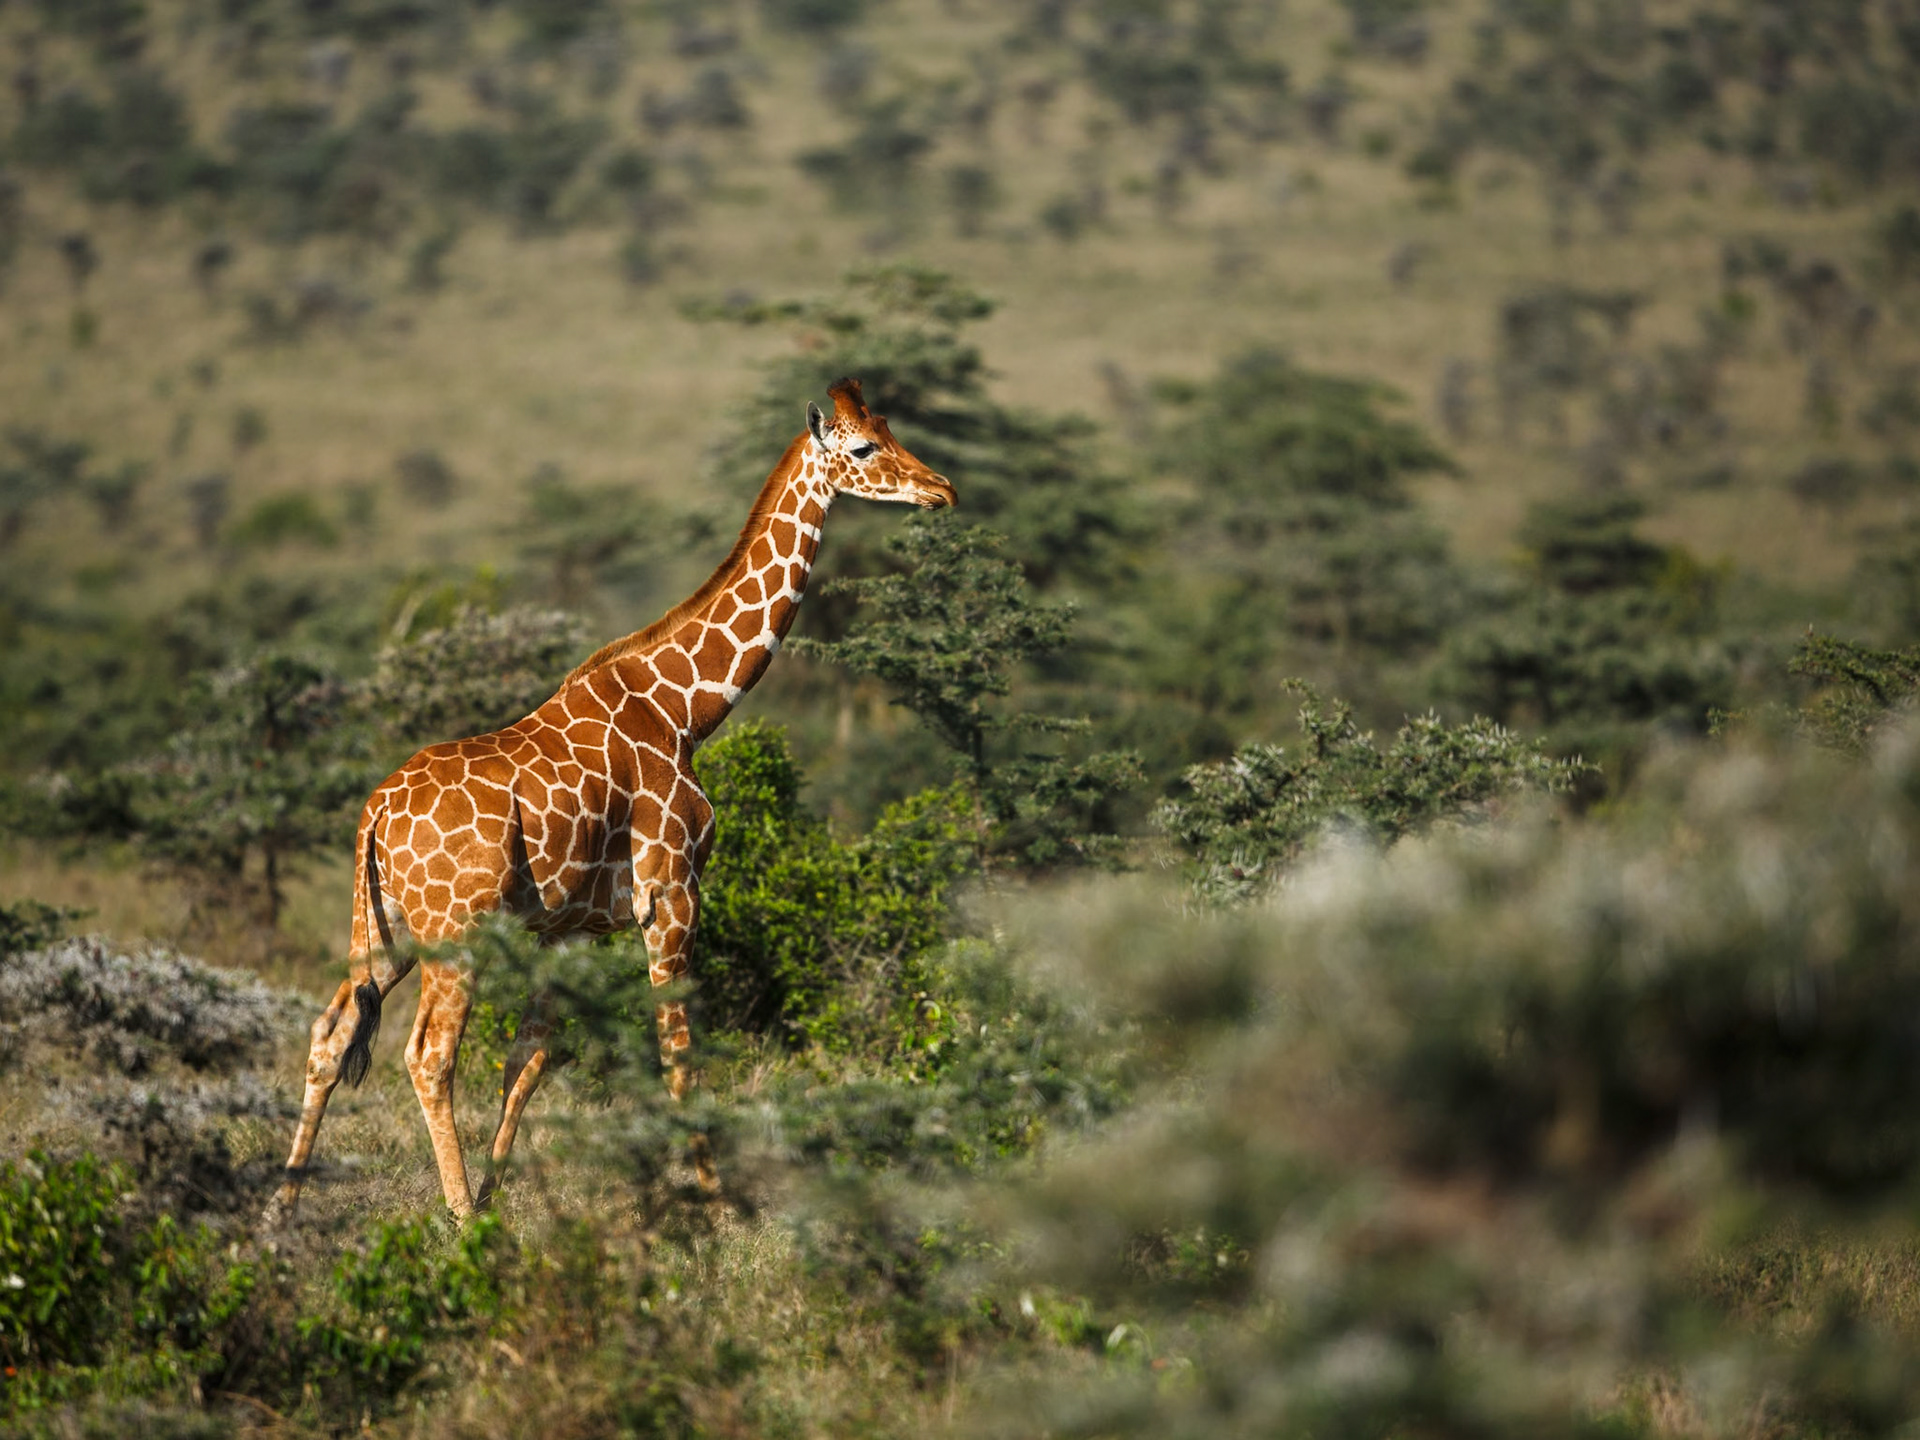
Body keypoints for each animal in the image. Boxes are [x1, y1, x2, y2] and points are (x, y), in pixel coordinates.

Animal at [266, 378, 955, 1222]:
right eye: (863, 448)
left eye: (890, 426)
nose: (942, 490)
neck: (687, 708)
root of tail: (375, 815)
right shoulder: (673, 894)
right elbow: (679, 1051)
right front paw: (717, 1209)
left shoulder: (571, 929)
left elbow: (530, 1058)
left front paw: (497, 1198)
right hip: (456, 931)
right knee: (428, 1054)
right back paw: (454, 1222)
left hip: (382, 926)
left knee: (329, 1034)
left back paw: (283, 1210)